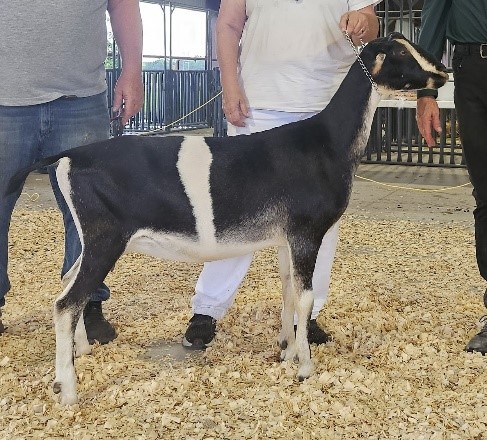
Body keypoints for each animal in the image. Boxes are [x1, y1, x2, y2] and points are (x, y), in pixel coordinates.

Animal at [7, 33, 448, 405]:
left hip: (90, 238)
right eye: (400, 52)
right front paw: (305, 368)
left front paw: (286, 351)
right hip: (105, 238)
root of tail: (69, 156)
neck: (326, 142)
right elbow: (305, 297)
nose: (442, 73)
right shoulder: (307, 232)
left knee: (67, 283)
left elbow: (289, 293)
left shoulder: (286, 238)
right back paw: (68, 389)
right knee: (67, 302)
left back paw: (80, 350)